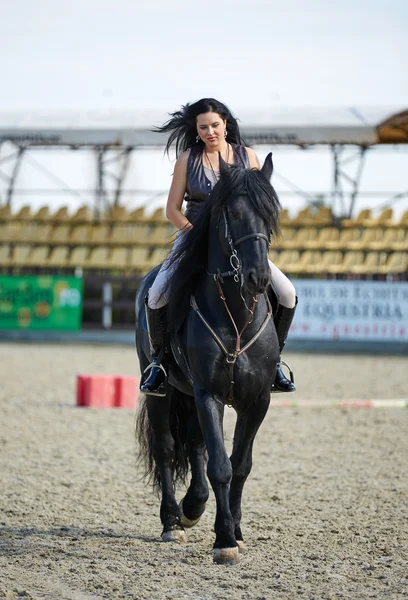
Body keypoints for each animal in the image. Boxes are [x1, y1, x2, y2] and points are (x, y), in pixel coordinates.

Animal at [135, 152, 282, 564]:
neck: (237, 315)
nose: (258, 278)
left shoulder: (257, 400)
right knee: (168, 447)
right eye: (232, 213)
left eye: (271, 213)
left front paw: (236, 530)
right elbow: (220, 467)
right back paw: (173, 520)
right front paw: (225, 540)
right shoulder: (209, 394)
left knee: (195, 444)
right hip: (163, 388)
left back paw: (194, 506)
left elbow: (241, 465)